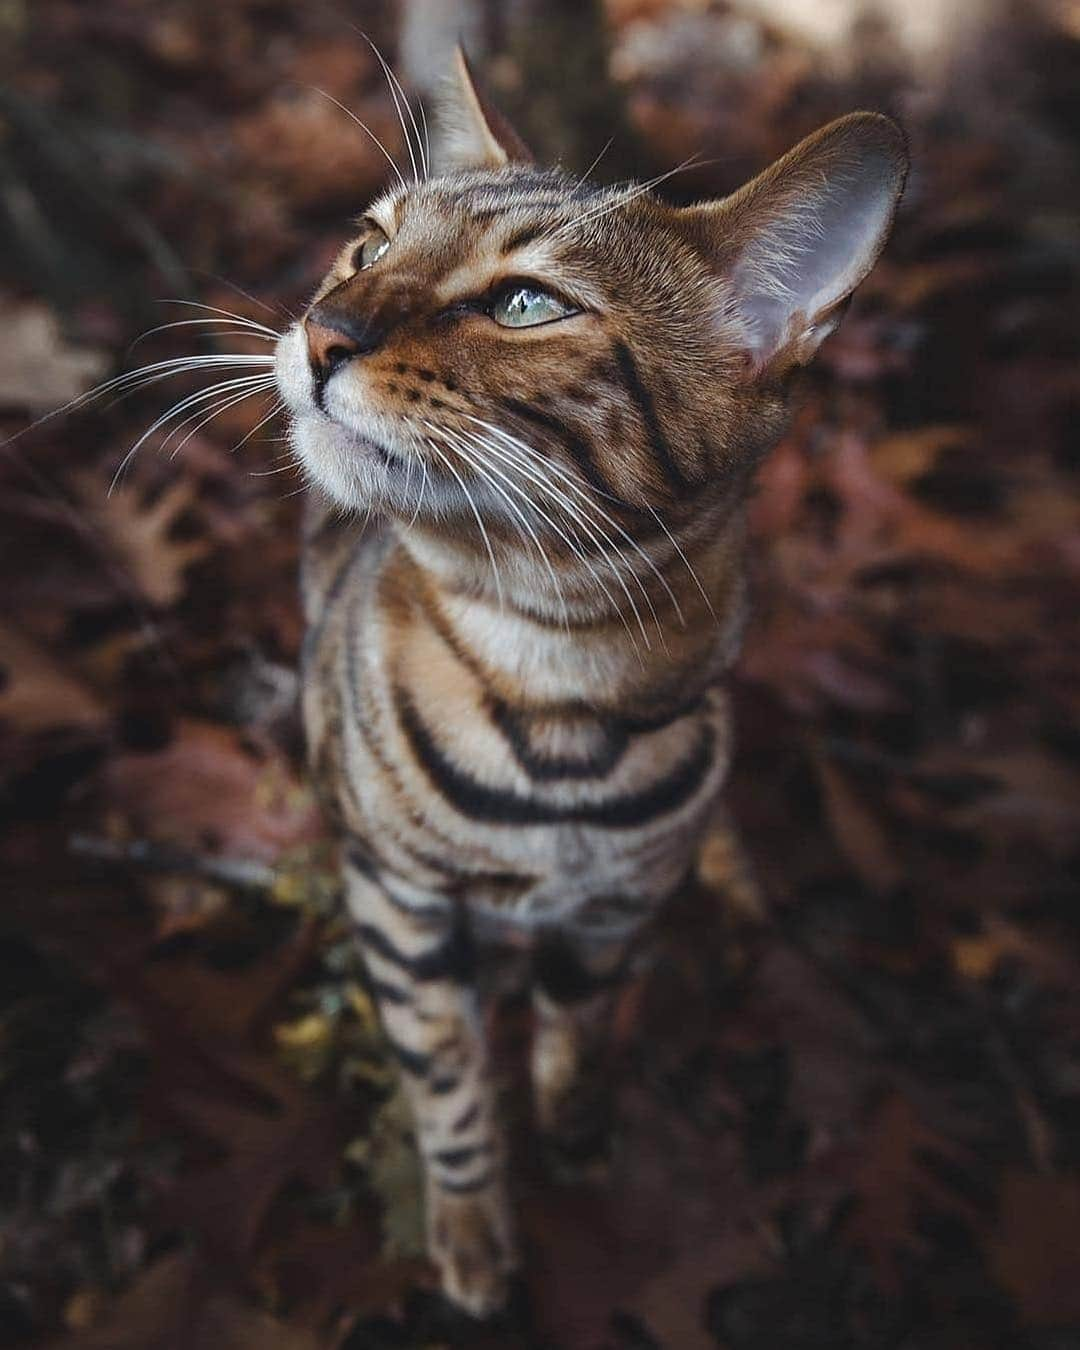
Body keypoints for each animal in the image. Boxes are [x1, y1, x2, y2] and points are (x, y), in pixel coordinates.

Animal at [274, 52, 907, 1317]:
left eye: (527, 304)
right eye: (368, 246)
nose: (321, 331)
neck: (557, 689)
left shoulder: (608, 917)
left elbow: (577, 1040)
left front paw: (575, 1137)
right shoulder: (401, 905)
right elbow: (449, 1083)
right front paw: (472, 1229)